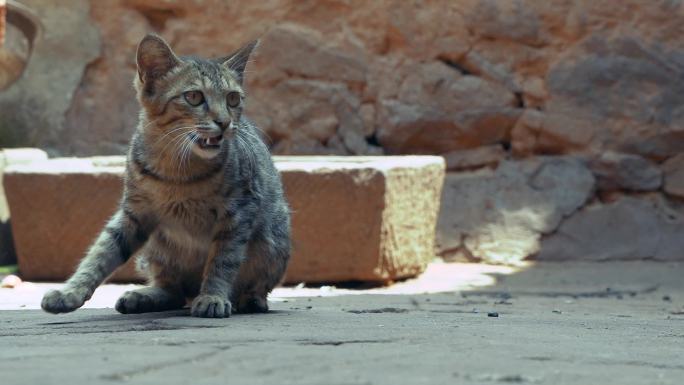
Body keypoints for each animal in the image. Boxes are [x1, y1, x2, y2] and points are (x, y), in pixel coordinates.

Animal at [39, 33, 292, 316]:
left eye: (233, 99)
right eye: (194, 96)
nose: (225, 122)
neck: (177, 171)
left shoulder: (239, 210)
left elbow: (223, 260)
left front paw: (213, 295)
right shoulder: (135, 212)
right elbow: (102, 251)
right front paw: (70, 290)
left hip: (273, 242)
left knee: (250, 285)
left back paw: (250, 299)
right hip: (156, 250)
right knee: (173, 291)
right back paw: (145, 296)